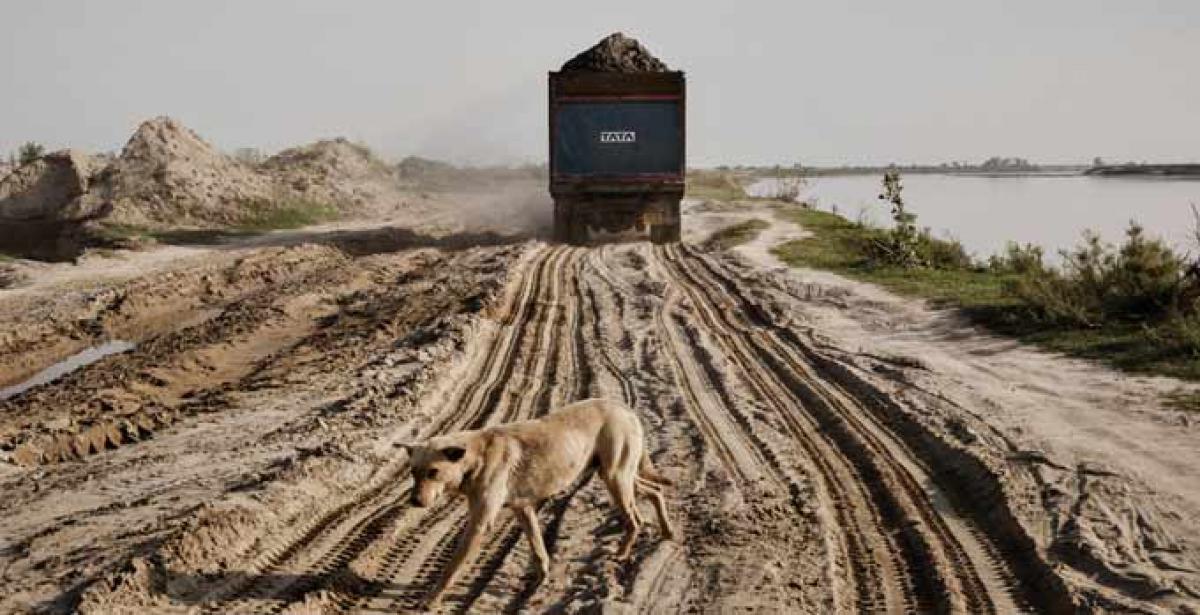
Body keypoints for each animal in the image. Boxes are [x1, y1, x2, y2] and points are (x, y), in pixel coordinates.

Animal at [396, 396, 672, 607]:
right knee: (656, 491)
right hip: (618, 476)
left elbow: (451, 569)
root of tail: (623, 407)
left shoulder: (480, 524)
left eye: (433, 472)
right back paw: (667, 531)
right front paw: (539, 580)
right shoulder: (523, 509)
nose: (414, 501)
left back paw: (622, 554)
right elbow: (538, 547)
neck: (476, 455)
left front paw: (431, 599)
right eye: (413, 472)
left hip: (616, 478)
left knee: (635, 519)